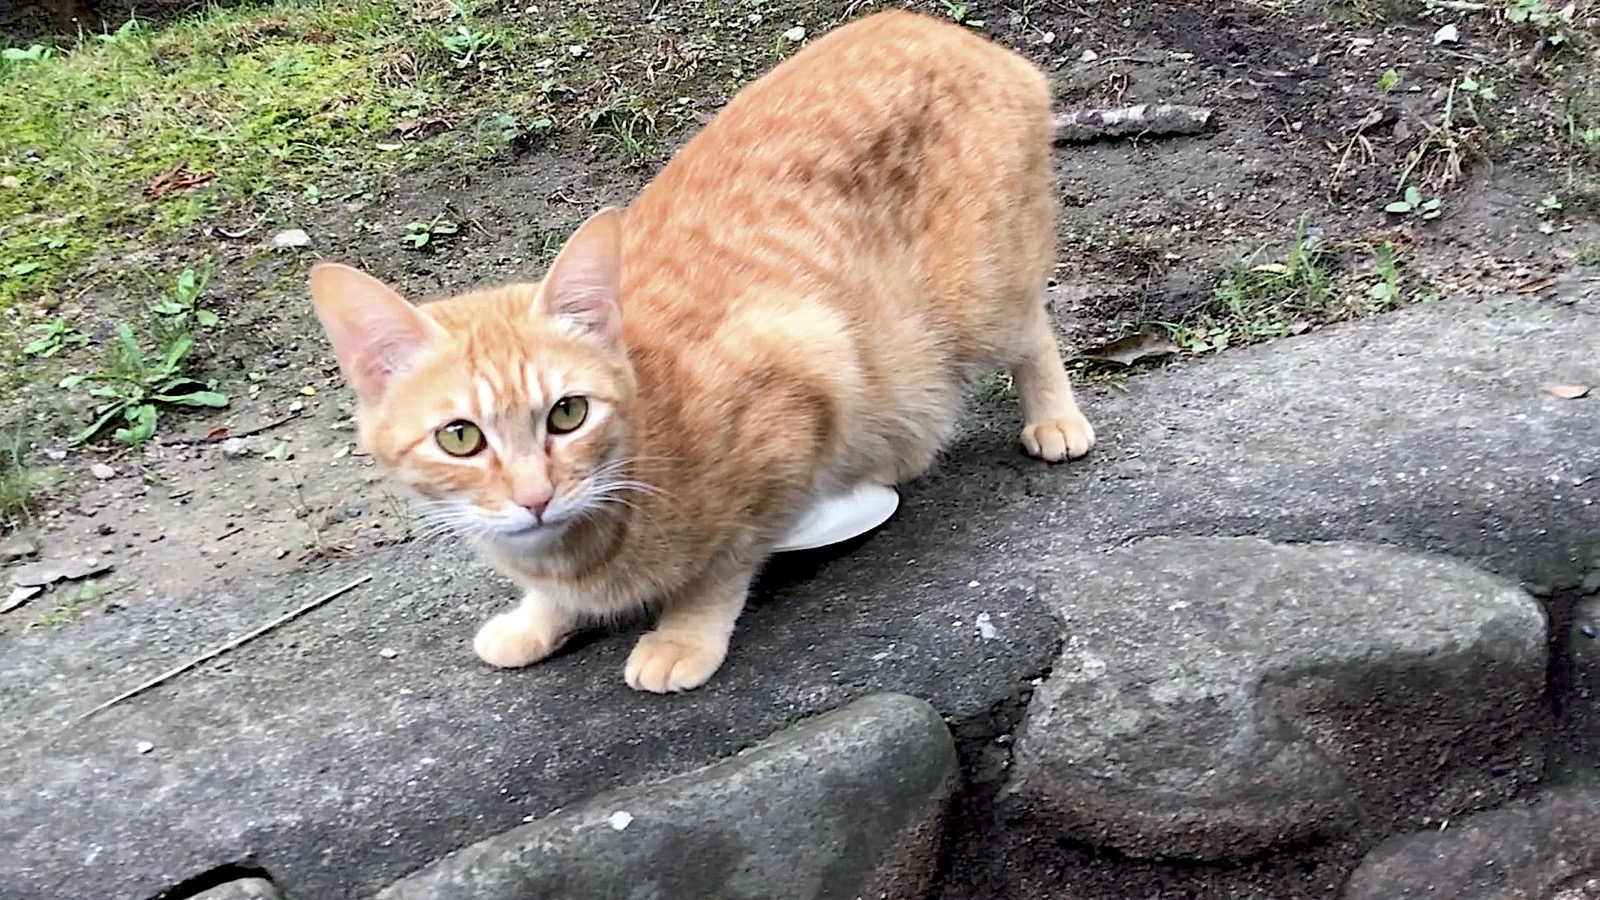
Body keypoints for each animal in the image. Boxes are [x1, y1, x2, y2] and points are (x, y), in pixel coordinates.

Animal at [305, 10, 1094, 688]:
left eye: (567, 415)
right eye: (460, 437)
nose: (535, 498)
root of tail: (934, 27)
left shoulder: (799, 387)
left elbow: (724, 561)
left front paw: (683, 633)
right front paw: (539, 620)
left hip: (975, 299)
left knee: (1033, 327)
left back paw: (1053, 418)